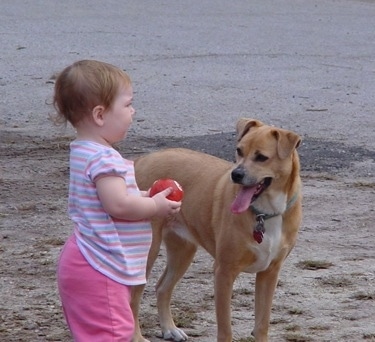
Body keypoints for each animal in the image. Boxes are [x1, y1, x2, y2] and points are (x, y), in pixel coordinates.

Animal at [131, 118, 302, 342]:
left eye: (262, 157)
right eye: (239, 150)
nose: (236, 174)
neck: (265, 213)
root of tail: (141, 160)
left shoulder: (270, 273)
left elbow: (262, 324)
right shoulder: (224, 272)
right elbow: (225, 328)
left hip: (183, 251)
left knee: (162, 287)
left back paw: (170, 328)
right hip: (148, 251)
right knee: (132, 298)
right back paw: (136, 336)